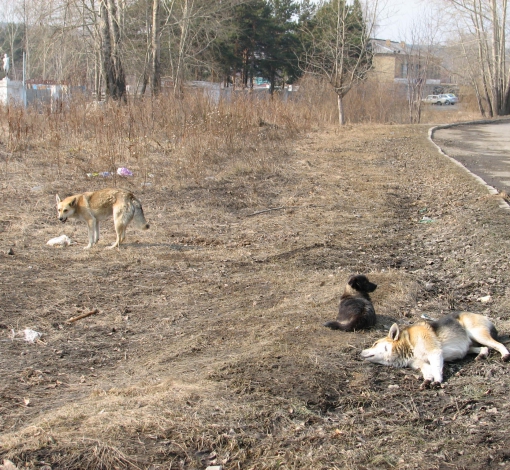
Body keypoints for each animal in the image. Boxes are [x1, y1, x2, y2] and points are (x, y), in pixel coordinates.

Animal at [360, 312, 508, 390]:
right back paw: (482, 355)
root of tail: (483, 316)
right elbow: (428, 372)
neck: (408, 343)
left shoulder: (435, 353)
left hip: (478, 335)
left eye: (375, 343)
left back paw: (505, 355)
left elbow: (436, 370)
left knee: (498, 344)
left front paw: (437, 381)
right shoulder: (420, 363)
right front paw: (427, 381)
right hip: (469, 346)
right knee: (485, 348)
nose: (360, 352)